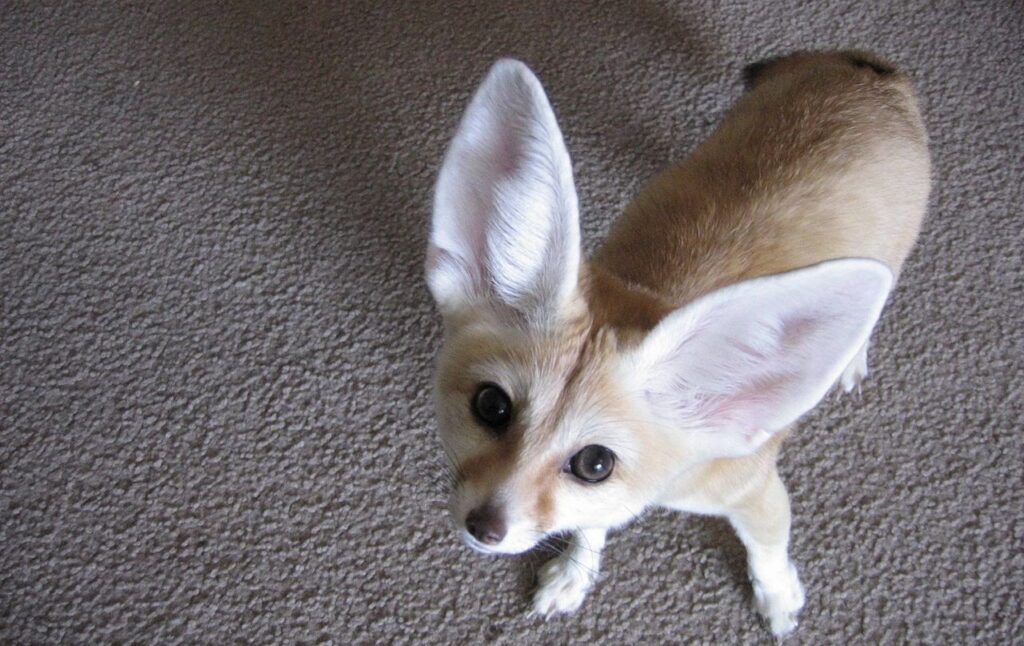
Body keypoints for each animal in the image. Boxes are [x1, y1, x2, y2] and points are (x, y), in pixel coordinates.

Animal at [424, 50, 929, 636]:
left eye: (594, 464)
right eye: (492, 406)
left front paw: (778, 595)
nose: (483, 527)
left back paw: (851, 356)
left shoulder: (757, 492)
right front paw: (576, 573)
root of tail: (870, 73)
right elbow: (590, 526)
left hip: (892, 259)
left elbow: (769, 551)